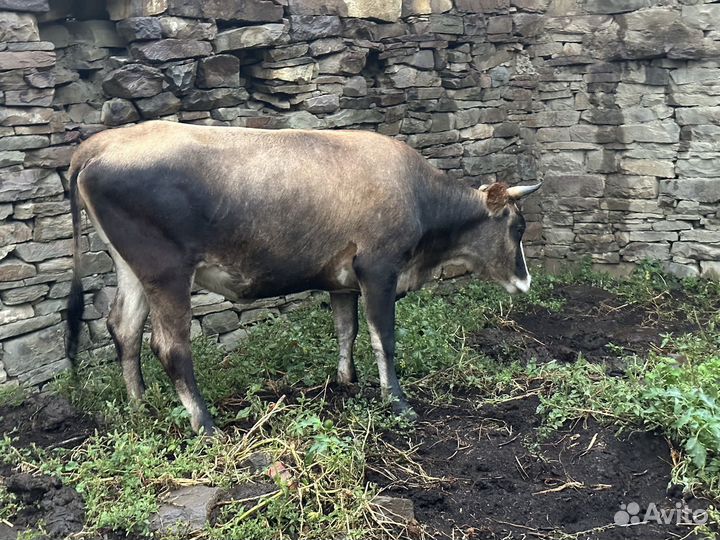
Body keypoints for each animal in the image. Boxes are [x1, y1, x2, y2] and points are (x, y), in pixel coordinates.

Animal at [65, 120, 540, 435]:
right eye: (518, 226)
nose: (526, 282)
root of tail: (100, 144)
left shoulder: (343, 279)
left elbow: (346, 329)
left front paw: (348, 381)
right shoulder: (379, 269)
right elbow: (382, 337)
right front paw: (398, 402)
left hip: (132, 268)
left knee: (124, 328)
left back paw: (140, 405)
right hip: (166, 272)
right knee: (168, 346)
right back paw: (206, 425)